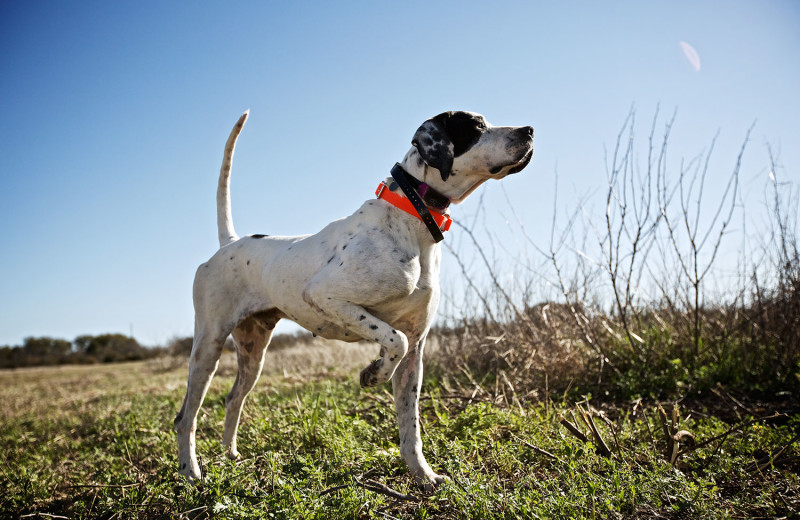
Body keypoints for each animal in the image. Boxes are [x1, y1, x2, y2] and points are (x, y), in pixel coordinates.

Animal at [178, 108, 536, 488]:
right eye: (477, 126)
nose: (529, 130)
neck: (411, 215)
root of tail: (229, 243)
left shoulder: (416, 350)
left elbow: (410, 427)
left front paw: (423, 475)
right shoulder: (326, 296)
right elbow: (394, 340)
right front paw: (373, 373)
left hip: (253, 354)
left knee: (233, 399)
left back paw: (230, 455)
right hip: (207, 348)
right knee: (185, 417)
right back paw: (190, 473)